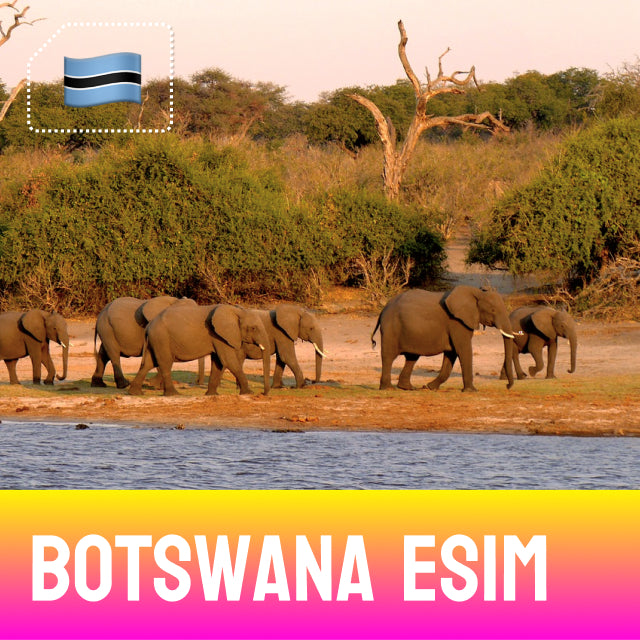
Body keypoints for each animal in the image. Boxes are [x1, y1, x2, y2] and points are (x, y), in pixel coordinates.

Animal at [127, 303, 271, 397]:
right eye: (253, 328)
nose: (263, 393)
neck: (236, 311)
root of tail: (149, 325)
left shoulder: (218, 336)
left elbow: (218, 363)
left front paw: (212, 394)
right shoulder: (218, 334)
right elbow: (228, 360)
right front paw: (248, 393)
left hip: (155, 340)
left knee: (148, 364)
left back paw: (136, 393)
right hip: (161, 338)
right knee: (165, 363)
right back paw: (174, 394)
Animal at [371, 285, 515, 391]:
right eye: (493, 310)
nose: (507, 386)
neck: (476, 292)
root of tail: (384, 309)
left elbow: (451, 354)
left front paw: (430, 387)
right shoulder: (456, 322)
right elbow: (463, 350)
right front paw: (471, 391)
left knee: (412, 357)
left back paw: (408, 388)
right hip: (391, 328)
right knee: (389, 356)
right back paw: (388, 389)